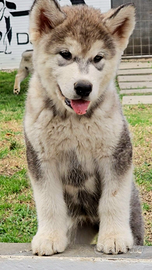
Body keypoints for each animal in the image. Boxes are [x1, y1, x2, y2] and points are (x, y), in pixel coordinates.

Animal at [23, 0, 144, 256]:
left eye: (98, 58)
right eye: (65, 54)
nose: (83, 87)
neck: (73, 121)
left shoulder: (116, 153)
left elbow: (113, 198)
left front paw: (114, 237)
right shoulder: (41, 158)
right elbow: (48, 202)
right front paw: (48, 237)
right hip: (75, 229)